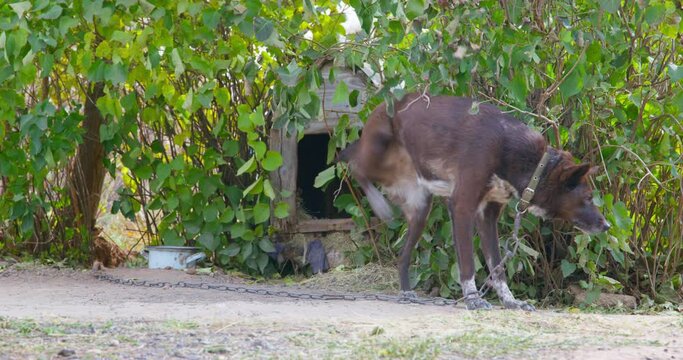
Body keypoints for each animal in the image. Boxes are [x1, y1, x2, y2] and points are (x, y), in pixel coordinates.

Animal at [340, 94, 612, 310]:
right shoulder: (462, 207)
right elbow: (468, 264)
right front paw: (472, 298)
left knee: (402, 256)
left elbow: (497, 267)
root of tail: (384, 101)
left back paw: (407, 292)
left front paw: (510, 301)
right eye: (588, 198)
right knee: (354, 165)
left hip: (421, 209)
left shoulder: (487, 216)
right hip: (378, 150)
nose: (607, 225)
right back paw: (378, 203)